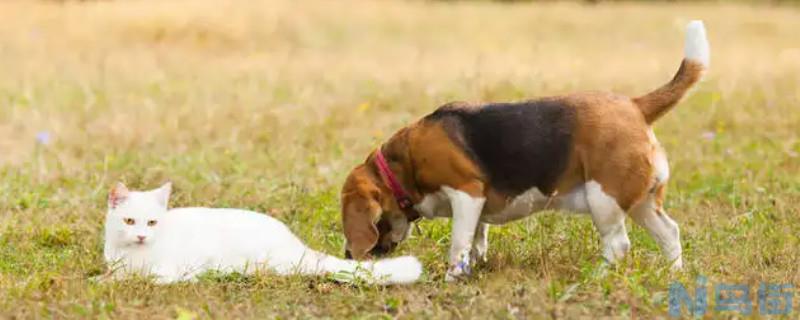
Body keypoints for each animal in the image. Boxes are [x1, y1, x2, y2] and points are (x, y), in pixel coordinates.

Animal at [103, 182, 422, 284]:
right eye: (130, 221)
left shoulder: (172, 271)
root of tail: (297, 245)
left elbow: (143, 278)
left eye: (152, 223)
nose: (141, 236)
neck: (129, 253)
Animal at [340, 21, 708, 280]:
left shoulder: (467, 193)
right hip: (641, 202)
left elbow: (459, 244)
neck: (401, 164)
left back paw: (598, 275)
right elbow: (477, 239)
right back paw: (673, 274)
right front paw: (476, 268)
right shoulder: (478, 207)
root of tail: (635, 106)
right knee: (670, 233)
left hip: (604, 199)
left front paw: (451, 278)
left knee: (618, 246)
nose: (348, 256)